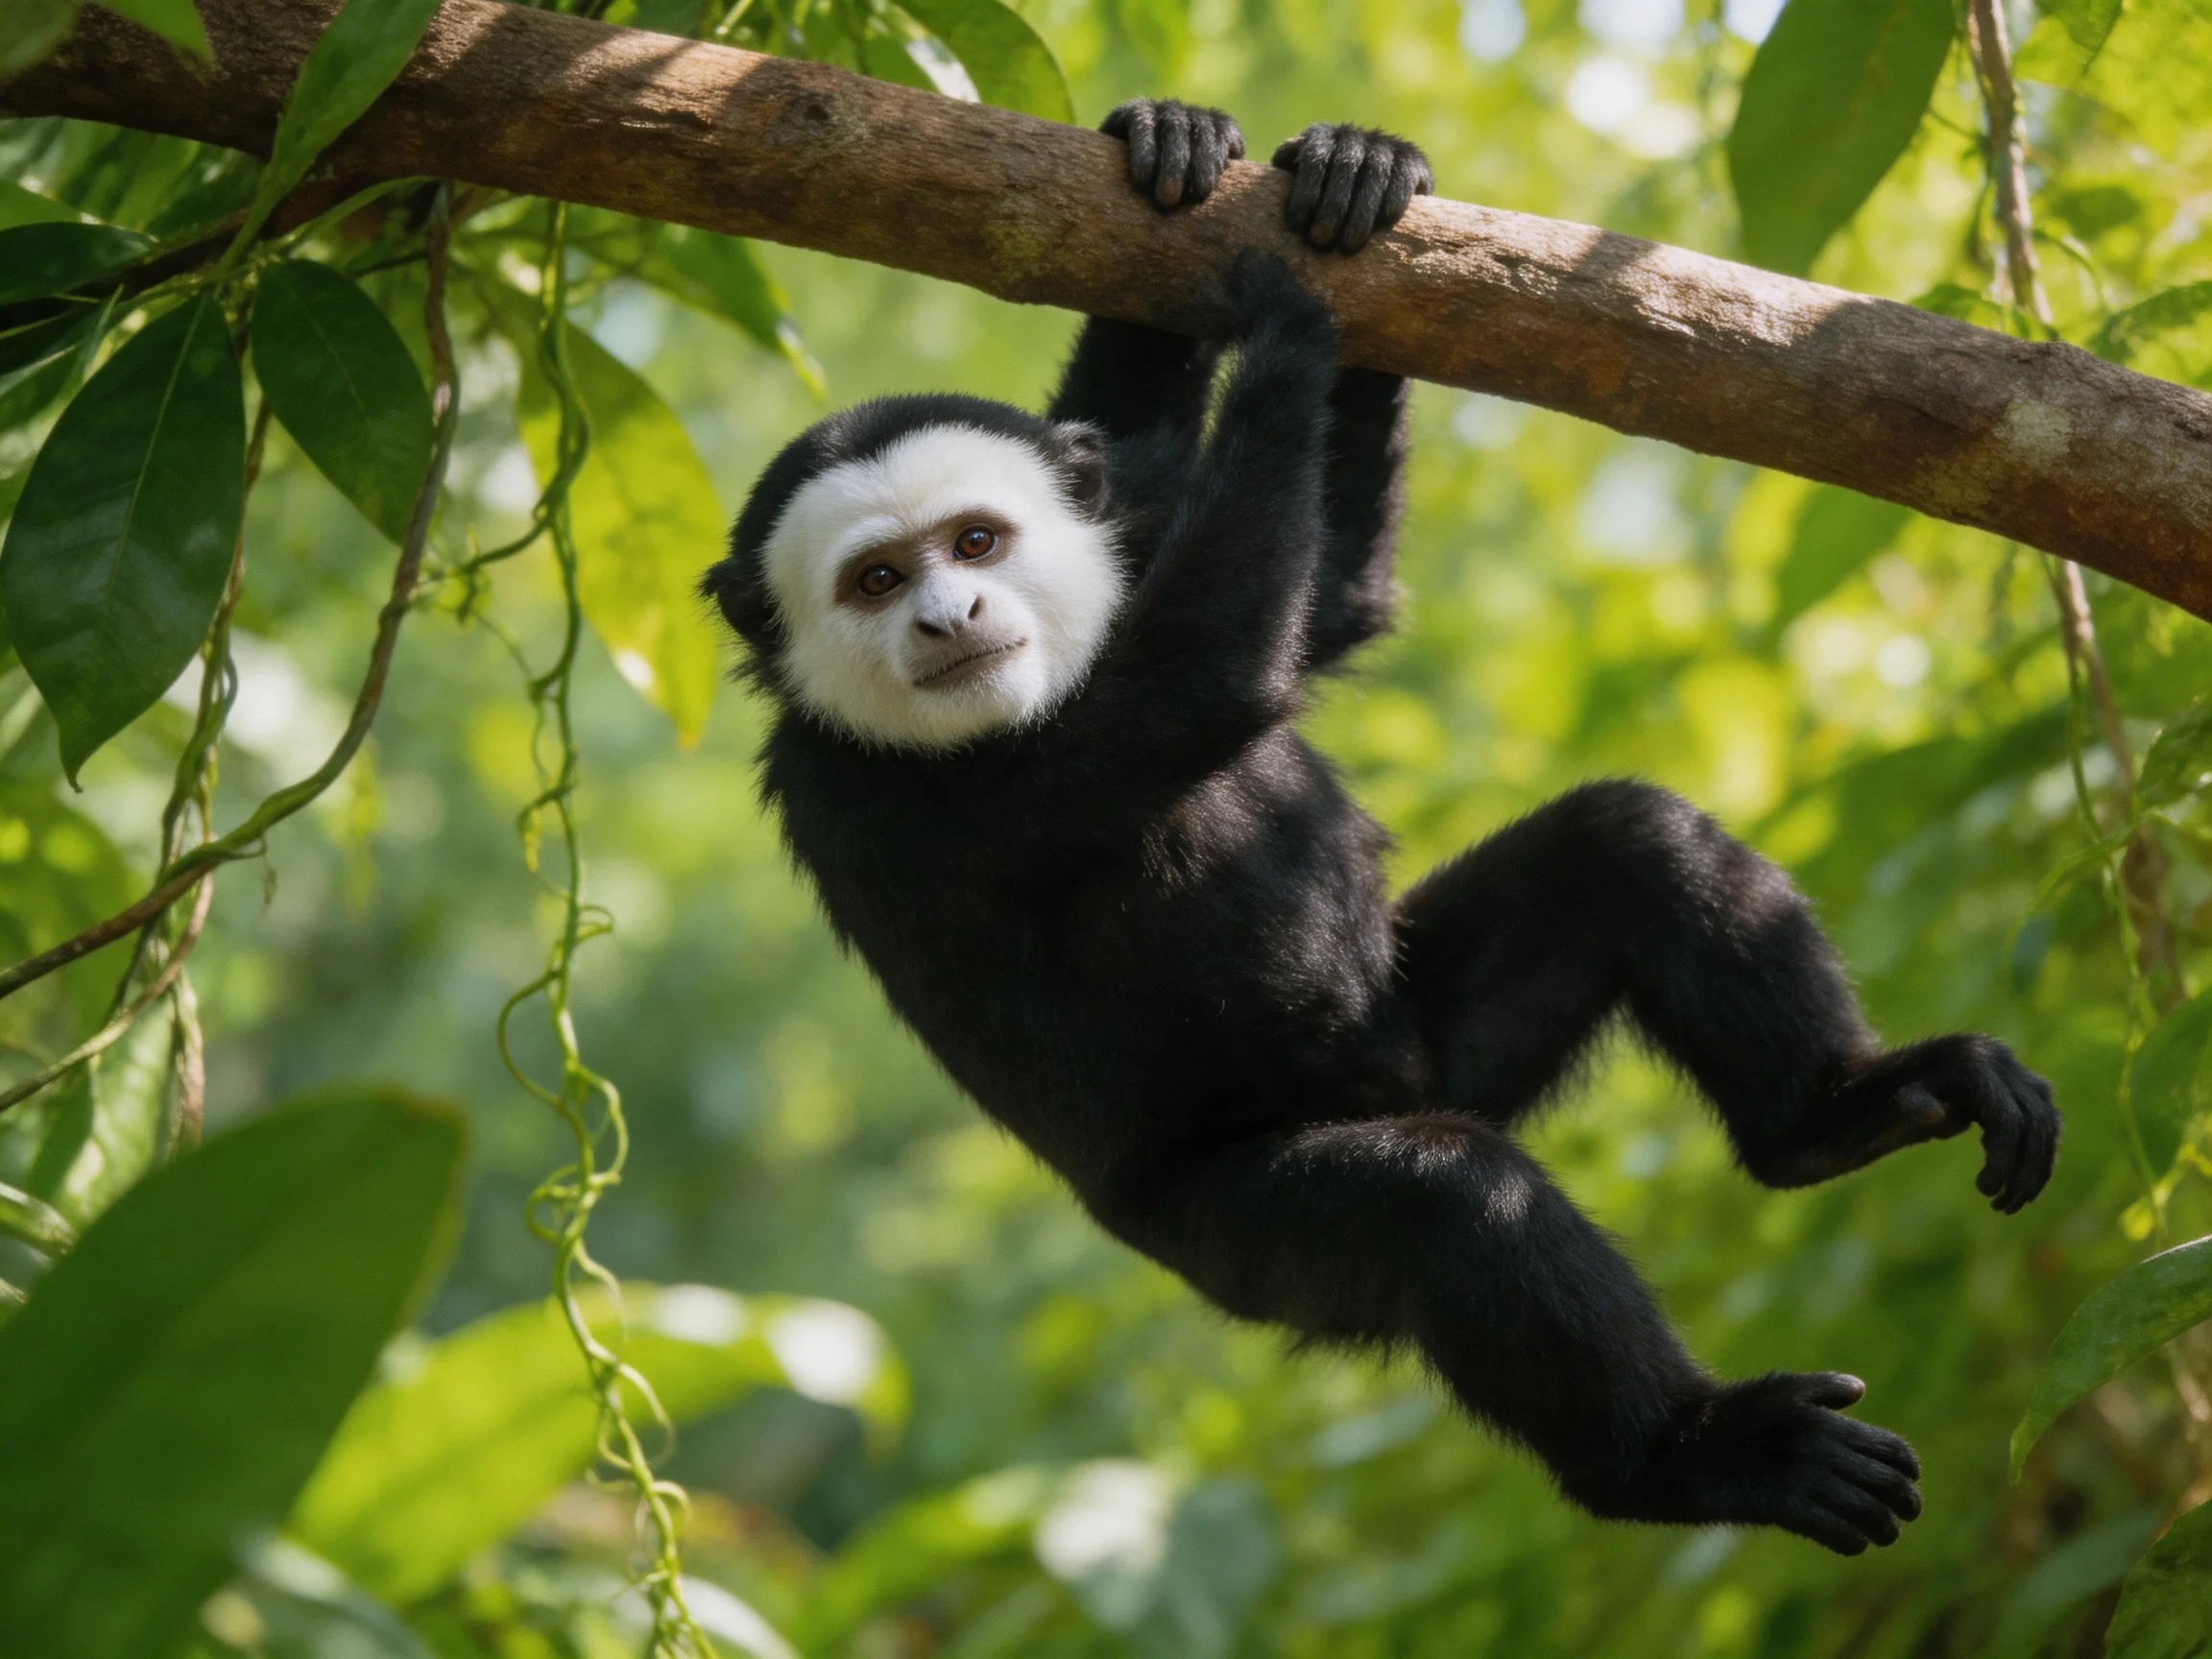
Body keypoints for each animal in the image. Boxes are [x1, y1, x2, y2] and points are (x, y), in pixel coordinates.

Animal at [701, 100, 2061, 1554]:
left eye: (976, 542)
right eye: (875, 580)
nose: (947, 619)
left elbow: (1321, 600)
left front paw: (1237, 156)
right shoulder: (883, 800)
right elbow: (1213, 684)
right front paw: (1288, 334)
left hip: (1437, 1032)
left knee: (1631, 841)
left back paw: (1835, 1118)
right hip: (1235, 1242)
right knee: (1443, 1203)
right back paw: (1689, 1458)